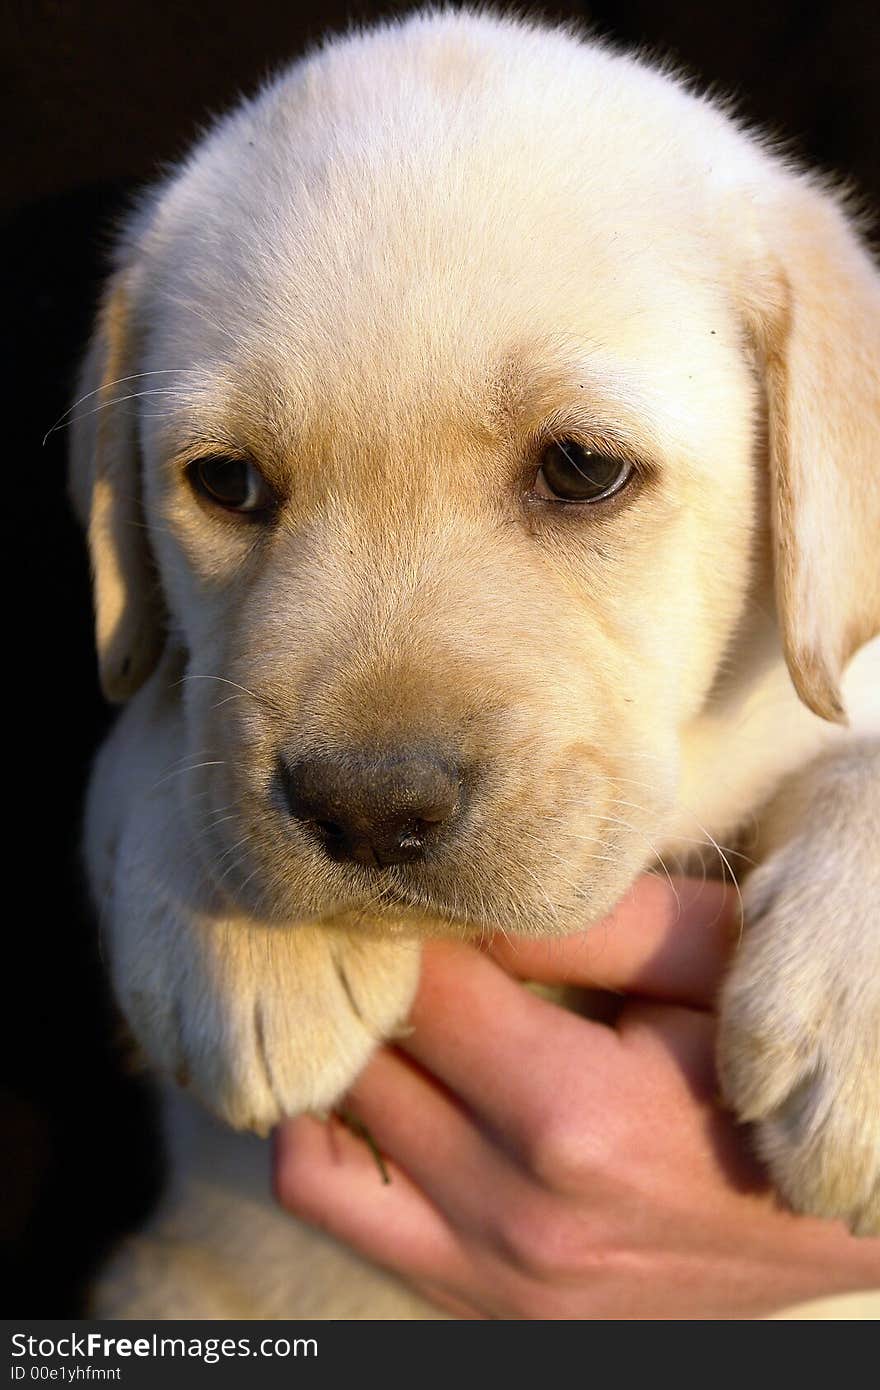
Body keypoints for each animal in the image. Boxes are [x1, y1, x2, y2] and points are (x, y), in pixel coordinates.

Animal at [71, 8, 873, 1312]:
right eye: (226, 482)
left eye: (582, 468)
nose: (366, 809)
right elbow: (156, 709)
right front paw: (246, 945)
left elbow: (855, 748)